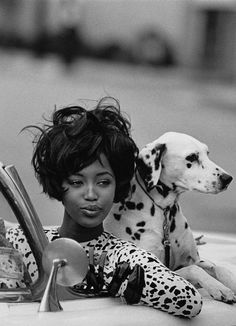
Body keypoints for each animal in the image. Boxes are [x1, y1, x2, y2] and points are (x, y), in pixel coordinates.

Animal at [104, 132, 236, 304]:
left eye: (207, 153)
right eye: (192, 157)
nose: (227, 178)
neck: (165, 214)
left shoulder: (194, 260)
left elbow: (218, 267)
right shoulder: (159, 273)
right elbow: (194, 270)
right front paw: (218, 287)